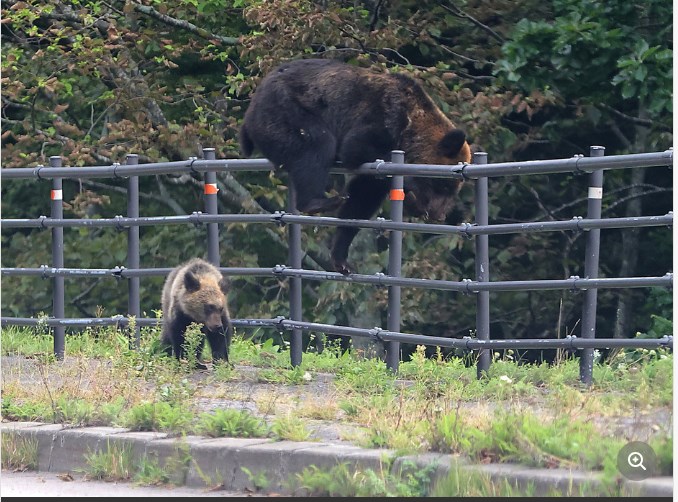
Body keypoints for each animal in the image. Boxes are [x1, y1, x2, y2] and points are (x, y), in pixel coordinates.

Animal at [240, 61, 472, 278]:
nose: (439, 214)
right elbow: (355, 149)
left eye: (454, 189)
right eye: (445, 184)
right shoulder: (381, 119)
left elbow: (361, 199)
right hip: (286, 109)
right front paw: (413, 195)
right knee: (317, 143)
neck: (410, 127)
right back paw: (318, 201)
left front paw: (341, 259)